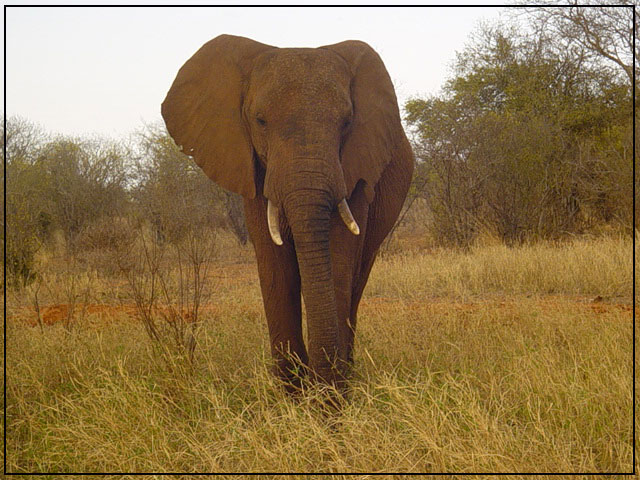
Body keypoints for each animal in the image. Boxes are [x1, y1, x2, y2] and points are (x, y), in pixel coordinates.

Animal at [162, 34, 416, 394]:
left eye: (347, 123)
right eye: (260, 120)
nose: (321, 389)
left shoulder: (355, 168)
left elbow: (338, 259)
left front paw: (330, 400)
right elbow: (274, 264)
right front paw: (292, 397)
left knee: (358, 278)